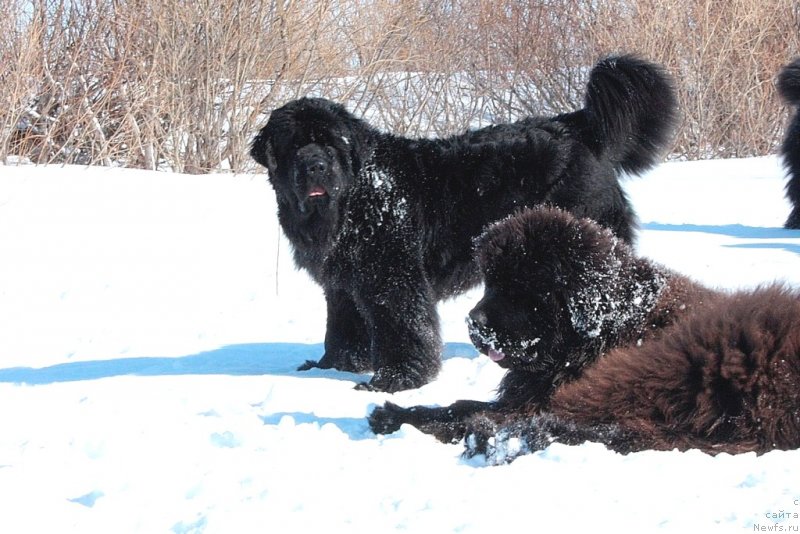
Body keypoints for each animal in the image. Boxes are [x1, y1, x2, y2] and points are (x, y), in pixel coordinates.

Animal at [248, 54, 676, 394]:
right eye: (294, 145)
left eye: (331, 143)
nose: (315, 165)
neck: (351, 203)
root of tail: (576, 126)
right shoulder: (341, 282)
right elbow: (341, 328)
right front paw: (333, 367)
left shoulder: (393, 279)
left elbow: (404, 329)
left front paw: (396, 380)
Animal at [368, 207, 800, 462]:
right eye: (490, 282)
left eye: (524, 289)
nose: (474, 322)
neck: (614, 322)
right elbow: (465, 402)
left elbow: (471, 407)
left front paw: (402, 416)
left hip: (668, 364)